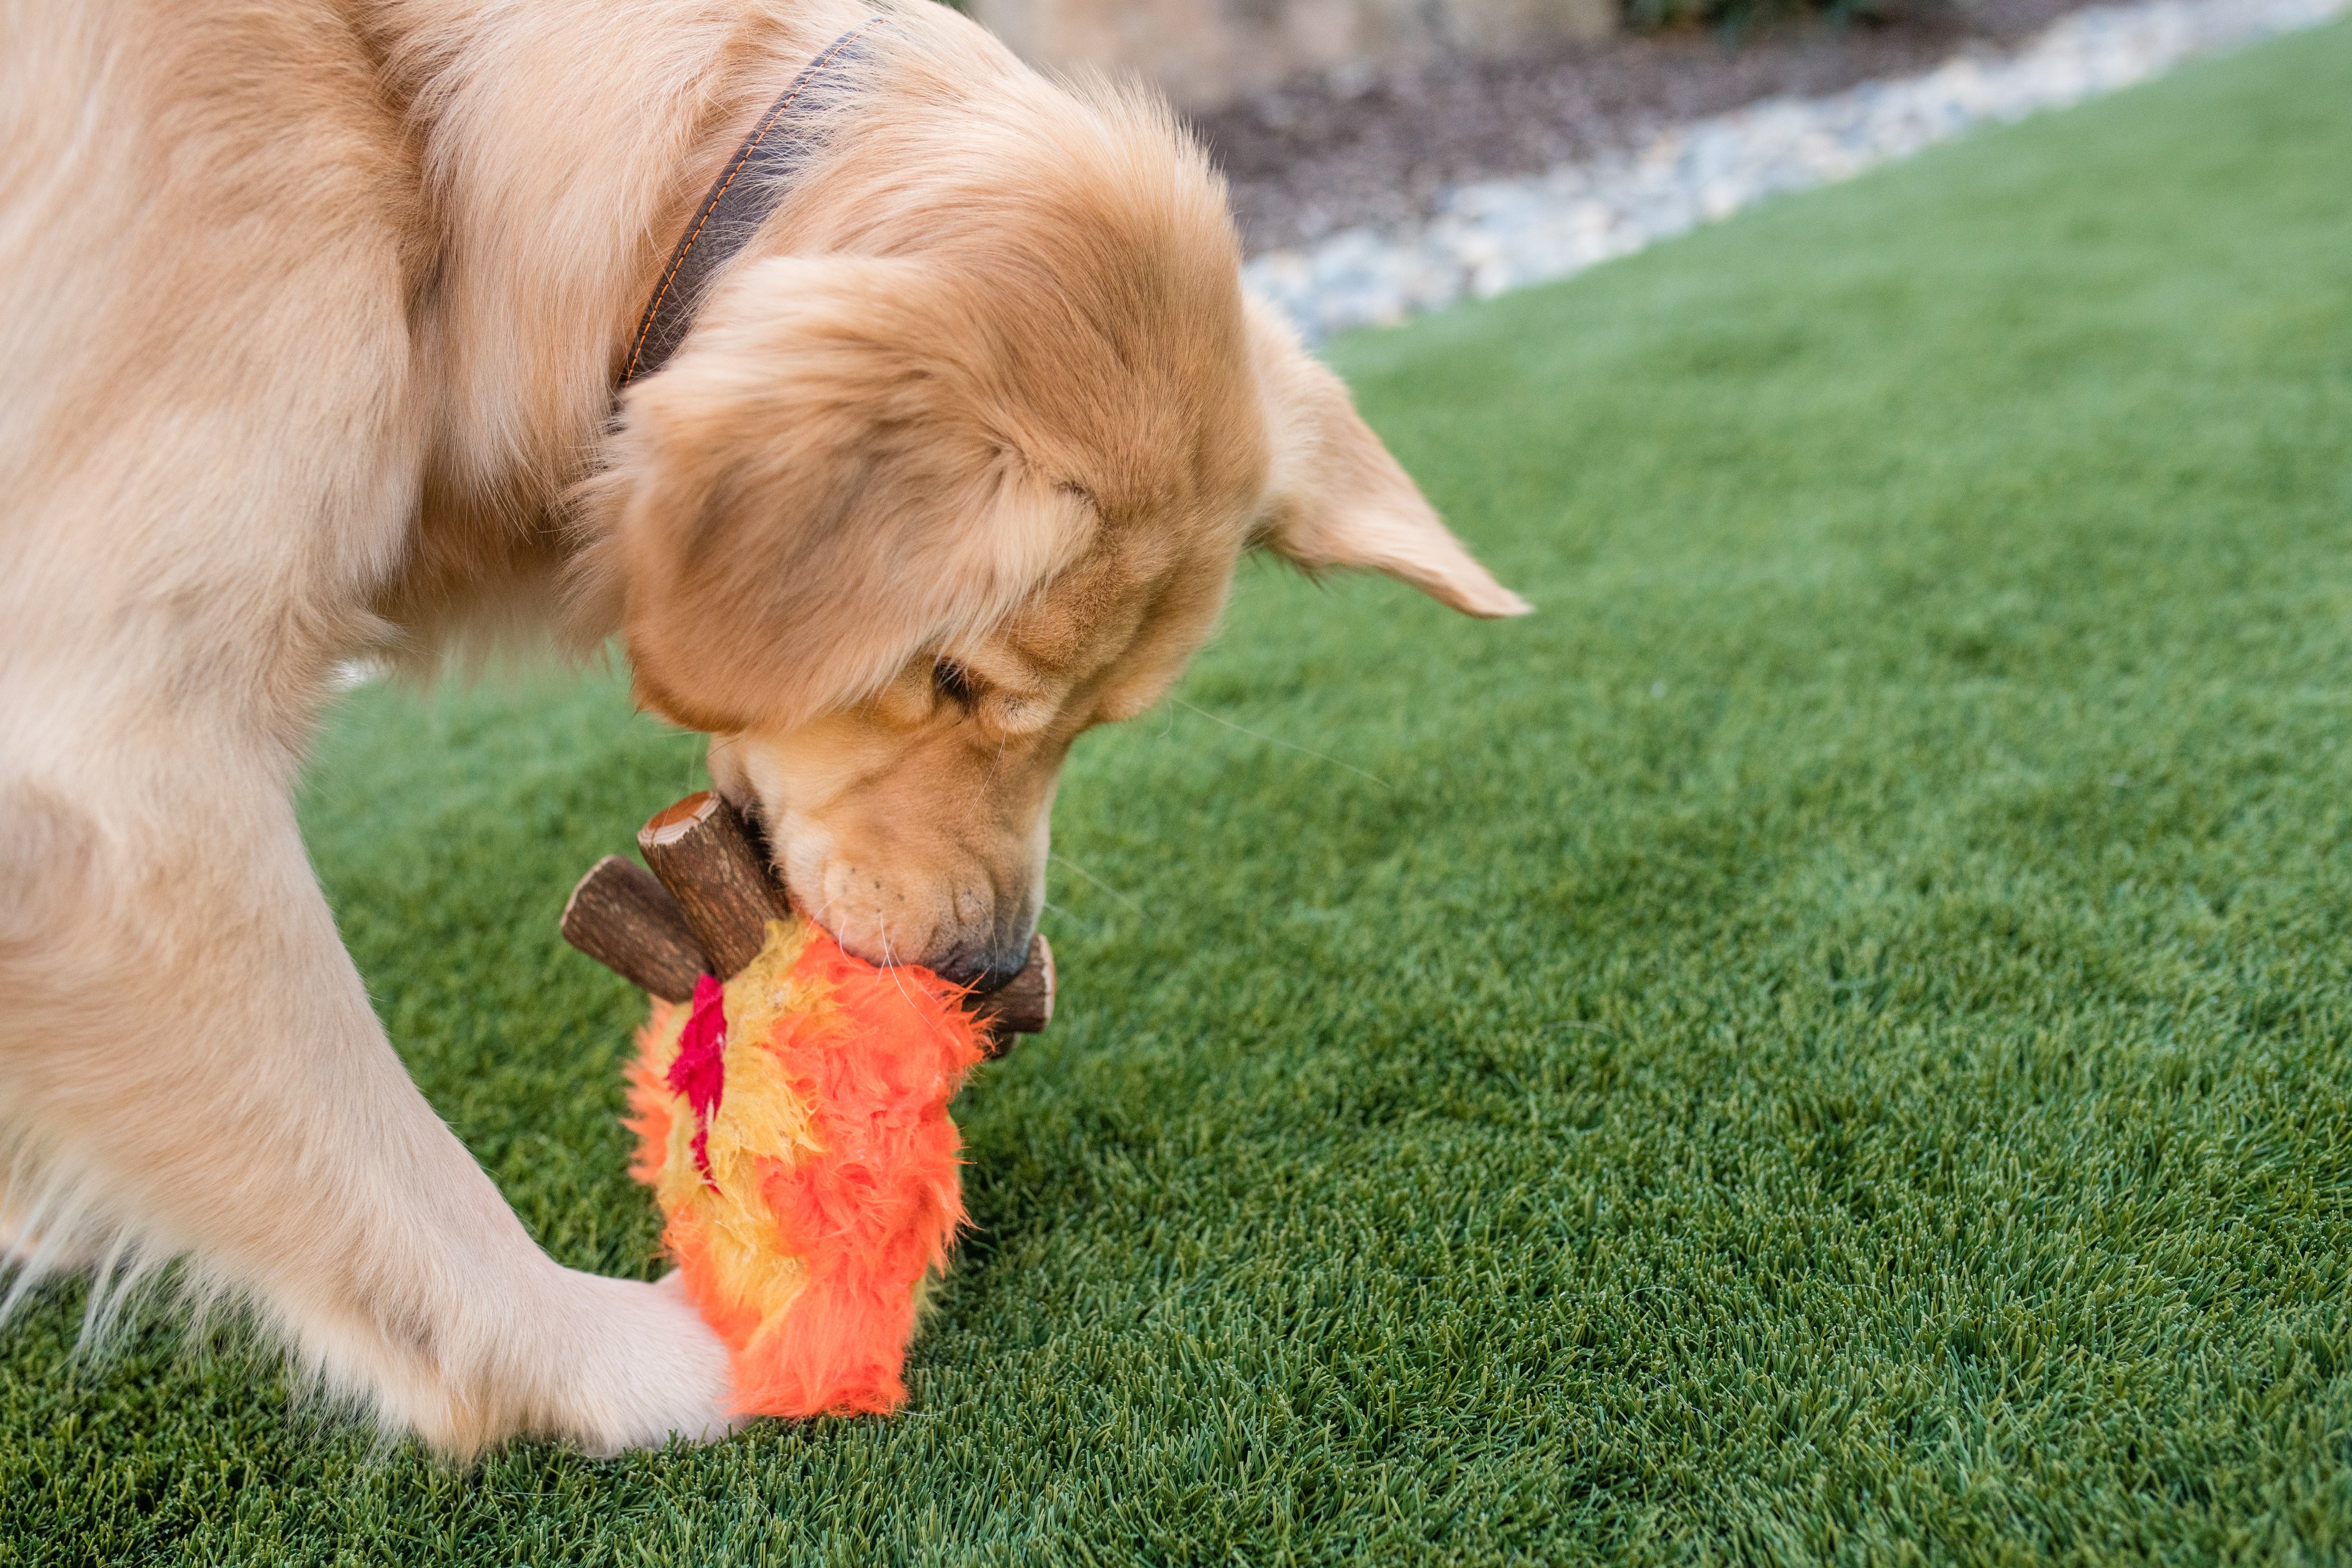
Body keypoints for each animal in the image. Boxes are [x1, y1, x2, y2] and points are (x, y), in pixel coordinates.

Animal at [0, 0, 1534, 1457]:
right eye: (952, 675)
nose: (988, 968)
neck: (423, 152)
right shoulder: (115, 775)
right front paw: (618, 1365)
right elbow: (383, 1159)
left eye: (1098, 722)